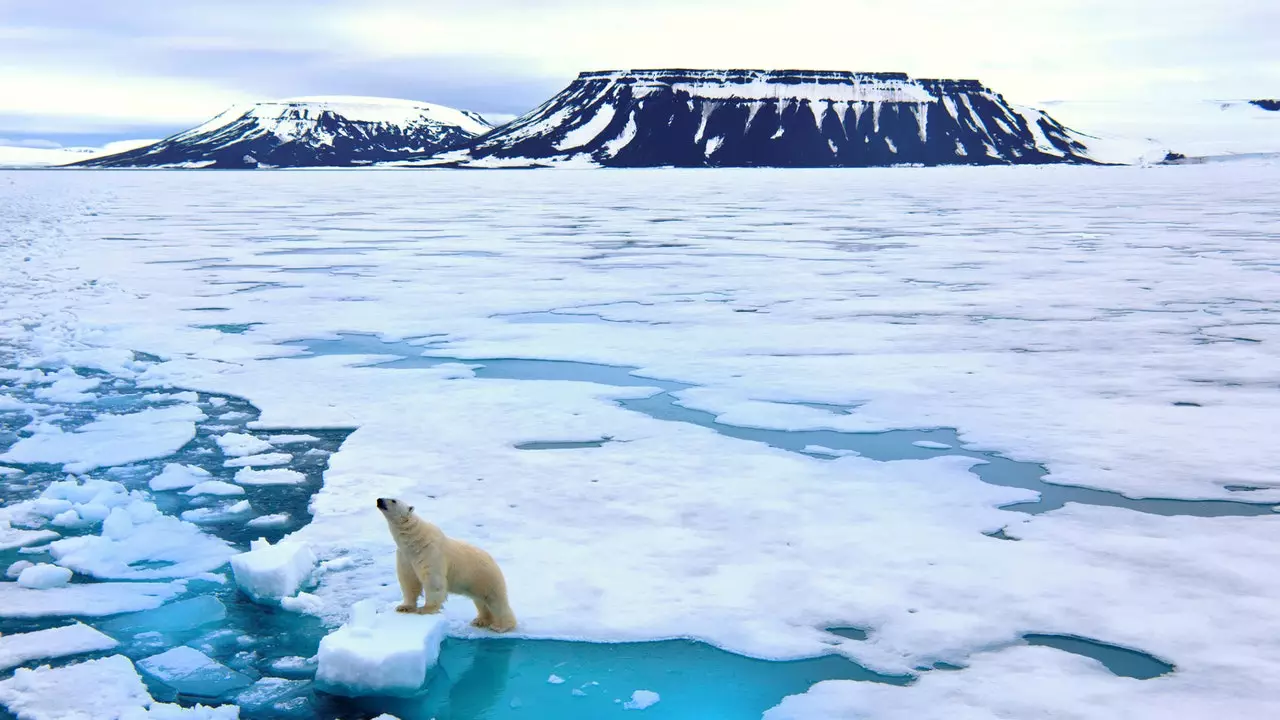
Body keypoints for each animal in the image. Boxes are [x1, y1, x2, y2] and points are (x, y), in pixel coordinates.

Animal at [373, 497, 514, 630]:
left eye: (393, 500)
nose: (379, 500)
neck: (414, 540)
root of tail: (494, 561)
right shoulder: (405, 556)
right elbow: (409, 580)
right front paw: (404, 607)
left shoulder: (430, 552)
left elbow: (433, 581)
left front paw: (426, 609)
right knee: (480, 601)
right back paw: (480, 621)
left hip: (486, 577)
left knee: (496, 601)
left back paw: (501, 626)